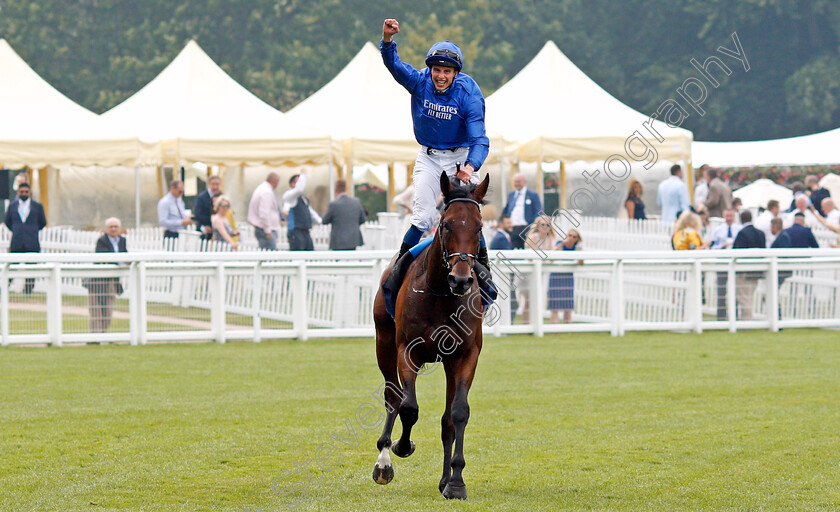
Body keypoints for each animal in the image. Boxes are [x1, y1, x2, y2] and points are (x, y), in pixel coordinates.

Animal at [370, 172, 488, 500]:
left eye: (479, 227)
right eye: (446, 224)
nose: (461, 280)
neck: (440, 294)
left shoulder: (465, 355)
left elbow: (458, 414)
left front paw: (456, 481)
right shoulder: (406, 350)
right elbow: (408, 406)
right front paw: (401, 446)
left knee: (447, 419)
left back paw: (445, 479)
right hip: (383, 344)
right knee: (392, 396)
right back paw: (384, 460)